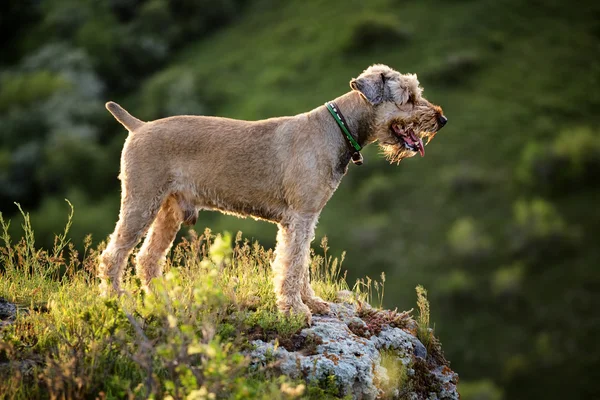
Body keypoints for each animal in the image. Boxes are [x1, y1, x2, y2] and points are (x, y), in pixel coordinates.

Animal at [97, 64, 446, 324]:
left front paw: (311, 302)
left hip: (168, 213)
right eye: (408, 96)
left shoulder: (307, 220)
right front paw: (295, 310)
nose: (441, 119)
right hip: (141, 203)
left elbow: (300, 263)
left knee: (146, 258)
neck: (338, 128)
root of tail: (139, 126)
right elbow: (291, 265)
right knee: (113, 256)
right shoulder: (300, 217)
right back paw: (116, 299)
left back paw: (163, 299)